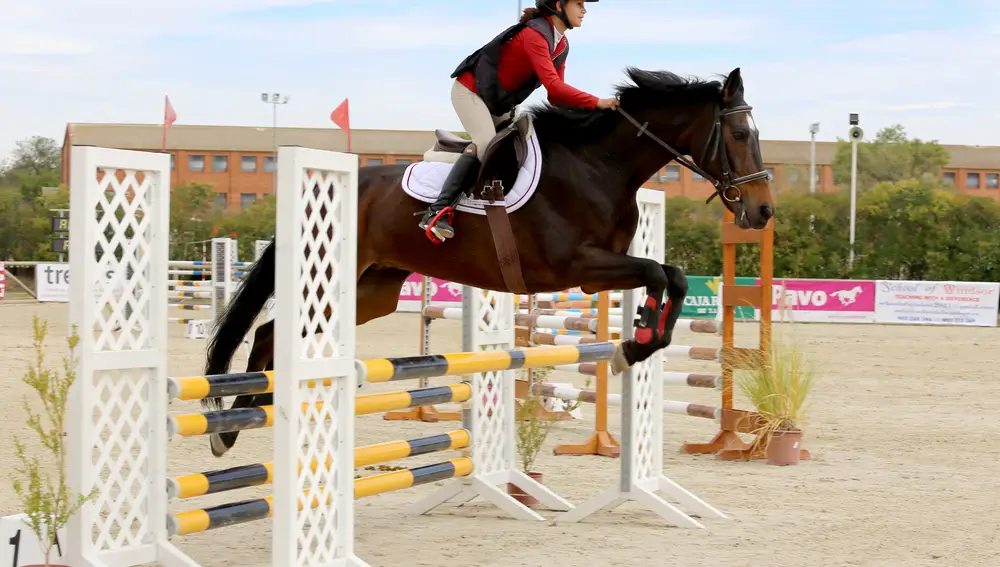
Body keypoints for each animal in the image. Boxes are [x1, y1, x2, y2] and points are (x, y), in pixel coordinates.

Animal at [197, 66, 772, 458]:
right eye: (740, 135)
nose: (763, 211)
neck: (599, 164)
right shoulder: (577, 267)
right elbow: (658, 273)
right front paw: (634, 343)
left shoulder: (599, 269)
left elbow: (672, 276)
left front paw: (640, 337)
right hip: (327, 277)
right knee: (270, 332)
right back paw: (231, 429)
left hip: (370, 292)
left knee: (271, 332)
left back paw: (238, 423)